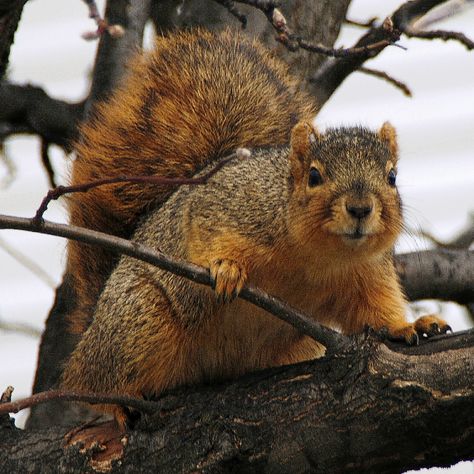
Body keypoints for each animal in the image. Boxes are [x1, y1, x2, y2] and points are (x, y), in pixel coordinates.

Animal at [61, 31, 450, 428]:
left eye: (392, 176)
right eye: (314, 176)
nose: (360, 208)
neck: (318, 256)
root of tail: (92, 327)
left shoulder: (367, 273)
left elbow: (376, 309)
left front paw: (411, 325)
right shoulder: (224, 203)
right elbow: (203, 228)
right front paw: (228, 269)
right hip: (139, 320)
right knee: (94, 382)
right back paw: (118, 402)